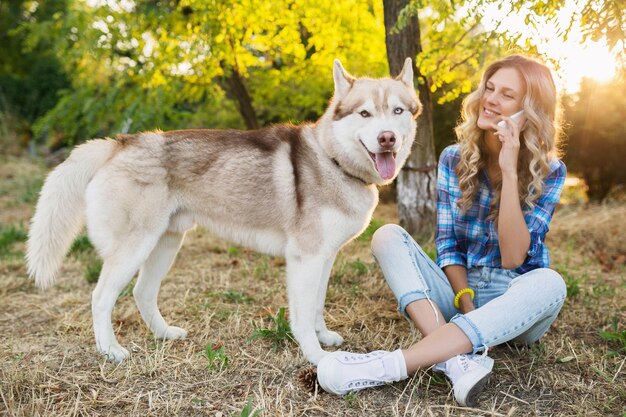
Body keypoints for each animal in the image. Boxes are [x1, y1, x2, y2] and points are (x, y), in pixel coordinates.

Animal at [28, 58, 420, 364]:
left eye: (397, 111)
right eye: (365, 113)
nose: (387, 138)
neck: (332, 159)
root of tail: (121, 142)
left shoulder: (324, 258)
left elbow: (317, 306)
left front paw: (323, 337)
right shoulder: (304, 259)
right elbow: (303, 315)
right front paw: (316, 355)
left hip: (165, 243)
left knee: (142, 292)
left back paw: (164, 333)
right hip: (134, 248)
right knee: (100, 297)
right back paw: (110, 350)